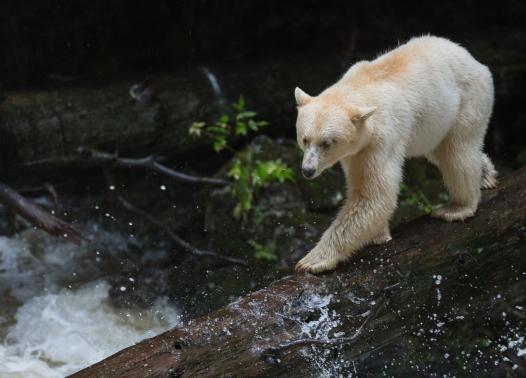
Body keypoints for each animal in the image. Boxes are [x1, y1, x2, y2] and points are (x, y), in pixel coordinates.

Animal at [296, 35, 500, 274]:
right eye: (305, 139)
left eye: (327, 143)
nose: (308, 170)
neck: (361, 85)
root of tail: (473, 60)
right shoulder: (358, 148)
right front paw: (378, 235)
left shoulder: (381, 138)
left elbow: (374, 195)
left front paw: (312, 260)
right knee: (441, 153)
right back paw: (486, 175)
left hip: (466, 100)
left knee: (457, 152)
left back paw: (457, 207)